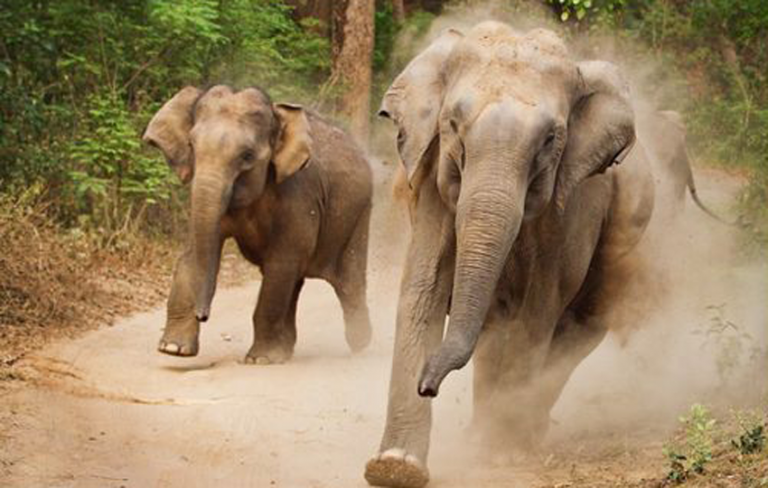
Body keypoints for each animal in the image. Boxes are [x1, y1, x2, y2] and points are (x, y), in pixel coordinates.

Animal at [142, 85, 373, 363]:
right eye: (192, 146)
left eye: (247, 156)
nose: (203, 315)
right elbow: (192, 254)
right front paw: (173, 349)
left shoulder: (299, 195)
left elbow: (282, 262)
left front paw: (260, 359)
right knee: (296, 282)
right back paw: (287, 350)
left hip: (359, 214)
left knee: (347, 281)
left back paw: (360, 343)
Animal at [364, 22, 655, 487]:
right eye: (452, 124)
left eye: (551, 139)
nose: (428, 385)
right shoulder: (433, 178)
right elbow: (424, 289)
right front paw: (394, 468)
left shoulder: (571, 203)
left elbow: (541, 304)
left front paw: (501, 455)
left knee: (578, 326)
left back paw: (520, 436)